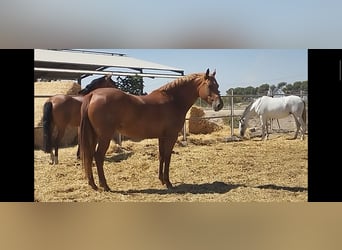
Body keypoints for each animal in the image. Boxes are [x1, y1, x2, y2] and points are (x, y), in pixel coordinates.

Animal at [80, 69, 224, 191]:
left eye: (217, 85)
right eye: (209, 86)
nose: (219, 105)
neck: (173, 100)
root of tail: (93, 95)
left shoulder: (162, 137)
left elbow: (161, 156)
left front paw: (161, 180)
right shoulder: (171, 136)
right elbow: (168, 157)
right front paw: (168, 183)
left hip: (94, 136)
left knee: (89, 156)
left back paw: (93, 185)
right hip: (104, 137)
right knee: (98, 157)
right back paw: (105, 186)